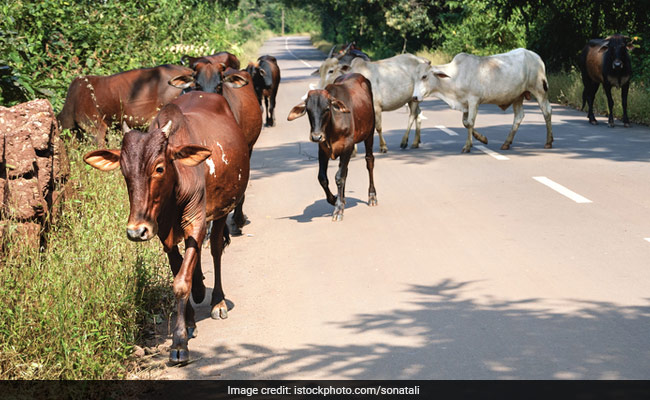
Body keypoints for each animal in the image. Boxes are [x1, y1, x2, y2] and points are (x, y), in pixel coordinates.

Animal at [83, 91, 248, 366]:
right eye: (124, 172)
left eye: (159, 168)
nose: (136, 231)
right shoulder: (162, 232)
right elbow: (178, 269)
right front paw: (189, 322)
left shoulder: (196, 221)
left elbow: (181, 281)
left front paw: (179, 343)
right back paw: (200, 289)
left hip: (223, 210)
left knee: (215, 249)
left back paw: (217, 302)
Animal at [288, 73, 374, 220]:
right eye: (308, 110)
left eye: (327, 109)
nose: (316, 136)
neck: (331, 127)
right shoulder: (322, 150)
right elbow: (323, 177)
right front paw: (336, 200)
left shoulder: (347, 146)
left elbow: (339, 177)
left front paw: (338, 208)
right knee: (345, 171)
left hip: (370, 134)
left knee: (369, 161)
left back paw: (372, 196)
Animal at [412, 47, 548, 153]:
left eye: (424, 76)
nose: (414, 97)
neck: (455, 76)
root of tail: (535, 56)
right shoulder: (465, 104)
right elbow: (465, 123)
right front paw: (481, 139)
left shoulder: (473, 100)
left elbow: (470, 122)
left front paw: (467, 146)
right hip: (518, 96)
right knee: (519, 116)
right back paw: (506, 143)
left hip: (539, 90)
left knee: (547, 112)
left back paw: (549, 142)